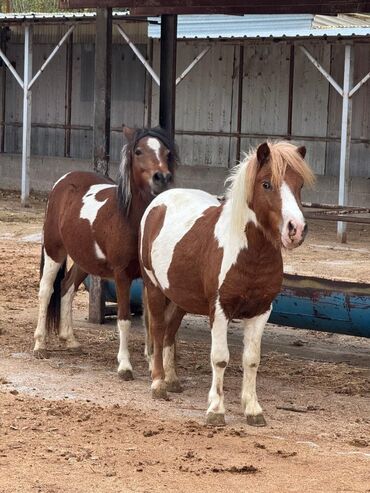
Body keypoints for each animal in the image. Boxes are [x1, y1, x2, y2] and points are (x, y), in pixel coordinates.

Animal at [34, 125, 178, 378]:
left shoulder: (147, 278)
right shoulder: (122, 276)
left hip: (83, 259)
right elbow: (124, 319)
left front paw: (153, 364)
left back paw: (70, 339)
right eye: (138, 151)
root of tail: (64, 181)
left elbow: (150, 320)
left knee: (66, 287)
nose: (162, 178)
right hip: (54, 251)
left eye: (167, 152)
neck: (131, 220)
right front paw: (125, 366)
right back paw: (40, 345)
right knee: (46, 290)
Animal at [140, 140, 314, 424]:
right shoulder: (220, 309)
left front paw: (253, 409)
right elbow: (220, 358)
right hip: (154, 287)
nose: (295, 229)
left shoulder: (261, 311)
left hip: (180, 297)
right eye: (267, 184)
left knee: (169, 332)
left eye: (299, 185)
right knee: (157, 329)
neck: (249, 254)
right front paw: (216, 410)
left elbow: (251, 360)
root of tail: (159, 202)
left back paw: (172, 380)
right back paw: (158, 384)